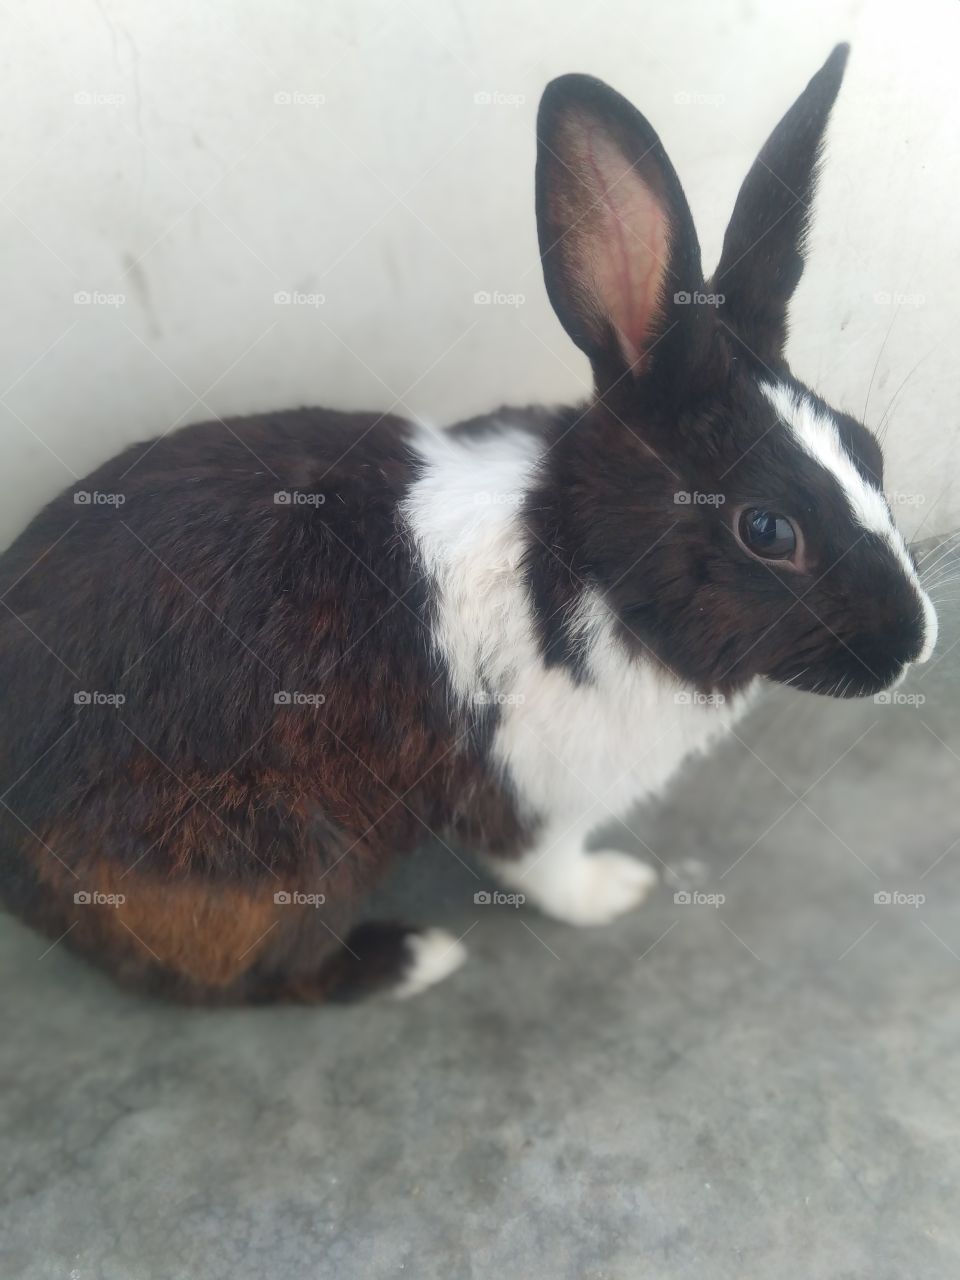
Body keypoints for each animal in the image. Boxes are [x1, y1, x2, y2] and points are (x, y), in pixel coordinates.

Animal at [0, 43, 937, 1004]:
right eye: (767, 530)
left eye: (869, 449)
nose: (915, 644)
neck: (583, 563)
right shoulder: (532, 793)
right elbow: (546, 869)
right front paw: (614, 892)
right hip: (271, 859)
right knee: (252, 977)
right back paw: (414, 956)